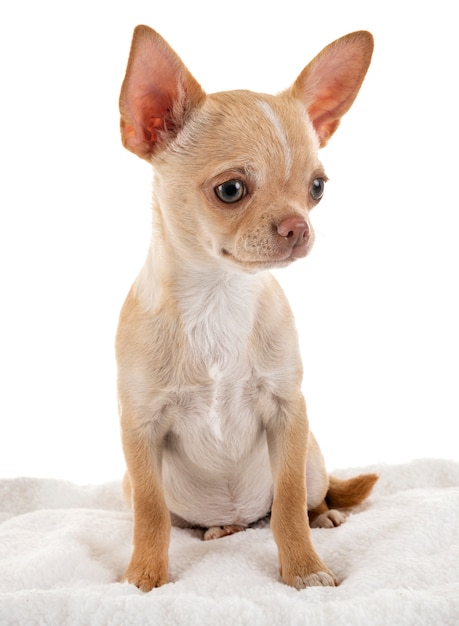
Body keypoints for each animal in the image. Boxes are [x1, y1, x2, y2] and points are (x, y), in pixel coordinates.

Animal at [117, 25, 380, 588]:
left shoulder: (288, 413)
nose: (299, 227)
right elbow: (150, 514)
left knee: (301, 498)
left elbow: (286, 506)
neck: (220, 296)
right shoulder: (140, 430)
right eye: (231, 189)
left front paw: (304, 568)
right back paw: (220, 530)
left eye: (317, 188)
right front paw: (144, 574)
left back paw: (323, 514)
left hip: (312, 458)